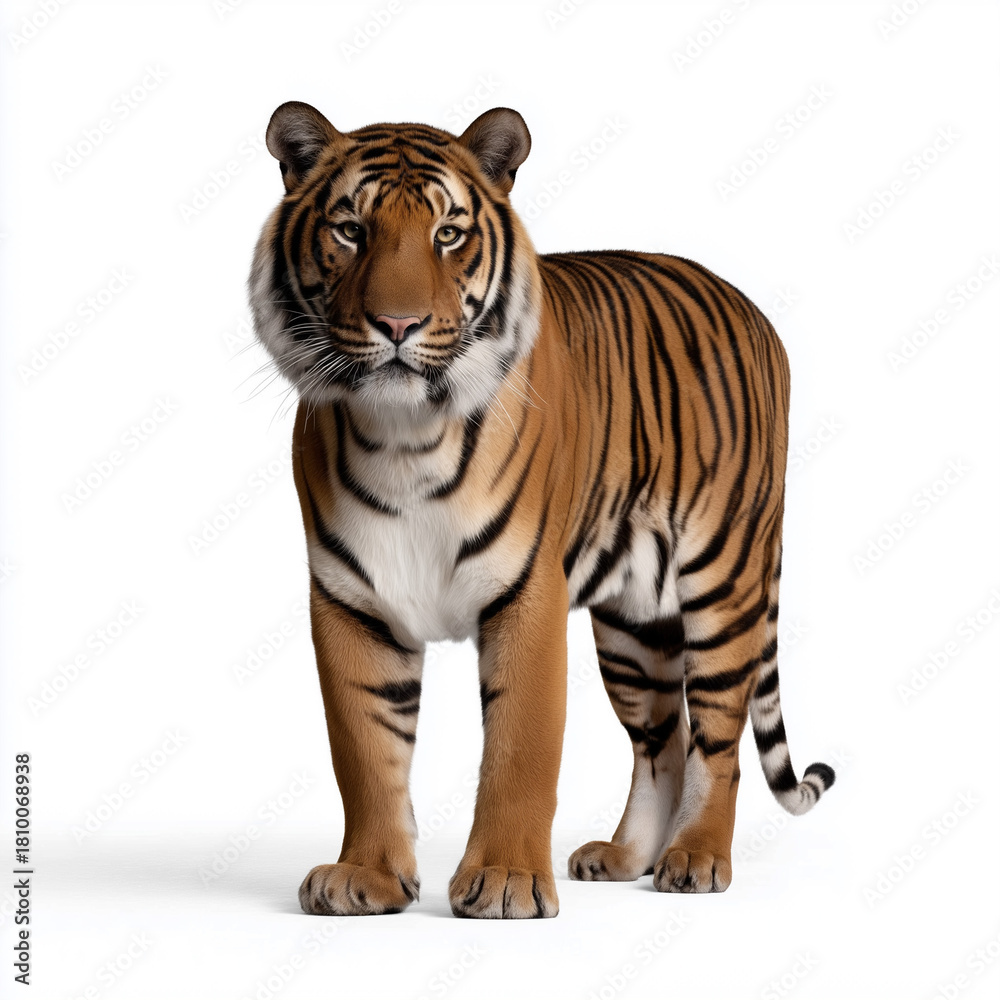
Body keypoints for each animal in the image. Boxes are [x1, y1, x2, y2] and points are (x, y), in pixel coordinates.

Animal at [248, 101, 834, 919]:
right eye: (350, 230)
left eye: (448, 233)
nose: (397, 325)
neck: (402, 433)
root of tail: (749, 306)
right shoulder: (349, 600)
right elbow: (363, 749)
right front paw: (367, 877)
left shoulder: (527, 591)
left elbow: (521, 747)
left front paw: (504, 881)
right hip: (632, 625)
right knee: (663, 740)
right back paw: (625, 857)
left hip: (724, 581)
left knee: (718, 739)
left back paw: (695, 858)